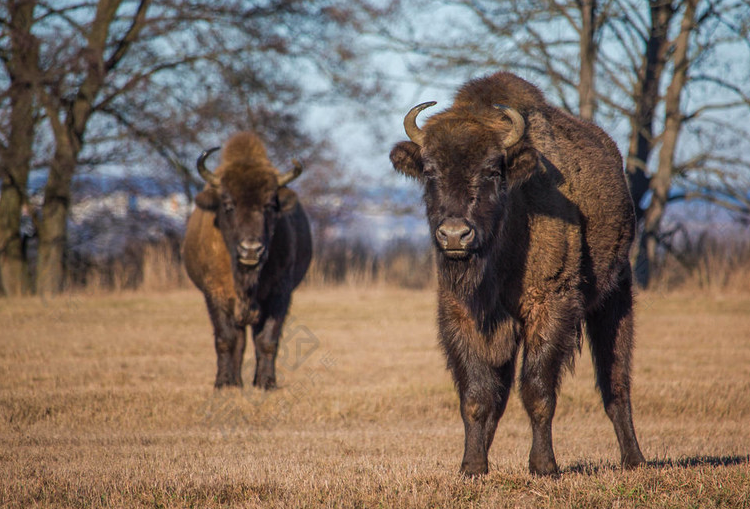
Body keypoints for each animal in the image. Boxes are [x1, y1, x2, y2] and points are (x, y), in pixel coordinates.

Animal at [184, 132, 312, 388]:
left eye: (270, 205)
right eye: (228, 204)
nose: (251, 249)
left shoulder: (279, 294)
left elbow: (267, 340)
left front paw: (266, 383)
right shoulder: (215, 293)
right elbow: (226, 339)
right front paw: (224, 383)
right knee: (239, 339)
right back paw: (235, 380)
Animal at [394, 72, 648, 476]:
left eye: (492, 170)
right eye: (429, 171)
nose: (455, 235)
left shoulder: (550, 307)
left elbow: (537, 390)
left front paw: (544, 465)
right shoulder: (460, 315)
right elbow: (477, 395)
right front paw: (472, 465)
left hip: (617, 293)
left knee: (616, 382)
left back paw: (634, 459)